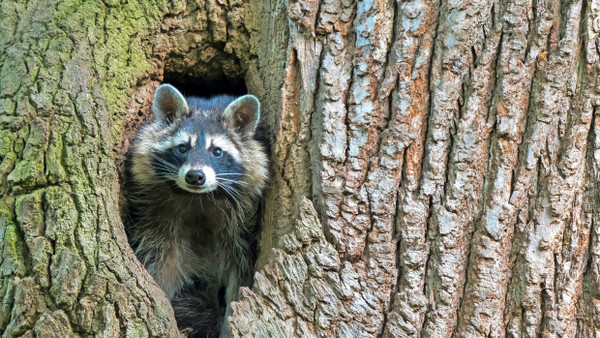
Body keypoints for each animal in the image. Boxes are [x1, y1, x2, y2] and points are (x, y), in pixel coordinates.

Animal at [125, 84, 268, 336]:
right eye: (182, 148)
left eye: (217, 152)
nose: (195, 176)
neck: (199, 198)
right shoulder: (156, 218)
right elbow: (162, 262)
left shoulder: (242, 227)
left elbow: (240, 273)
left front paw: (229, 321)